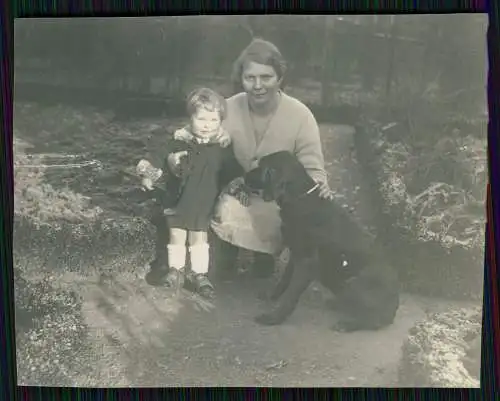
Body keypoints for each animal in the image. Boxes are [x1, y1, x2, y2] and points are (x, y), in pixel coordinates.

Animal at [244, 151, 400, 332]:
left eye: (262, 167)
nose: (244, 176)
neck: (300, 198)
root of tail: (394, 306)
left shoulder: (306, 263)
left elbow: (291, 295)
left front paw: (274, 317)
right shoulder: (296, 254)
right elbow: (284, 281)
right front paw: (272, 296)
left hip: (354, 281)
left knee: (374, 319)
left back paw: (348, 323)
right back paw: (337, 303)